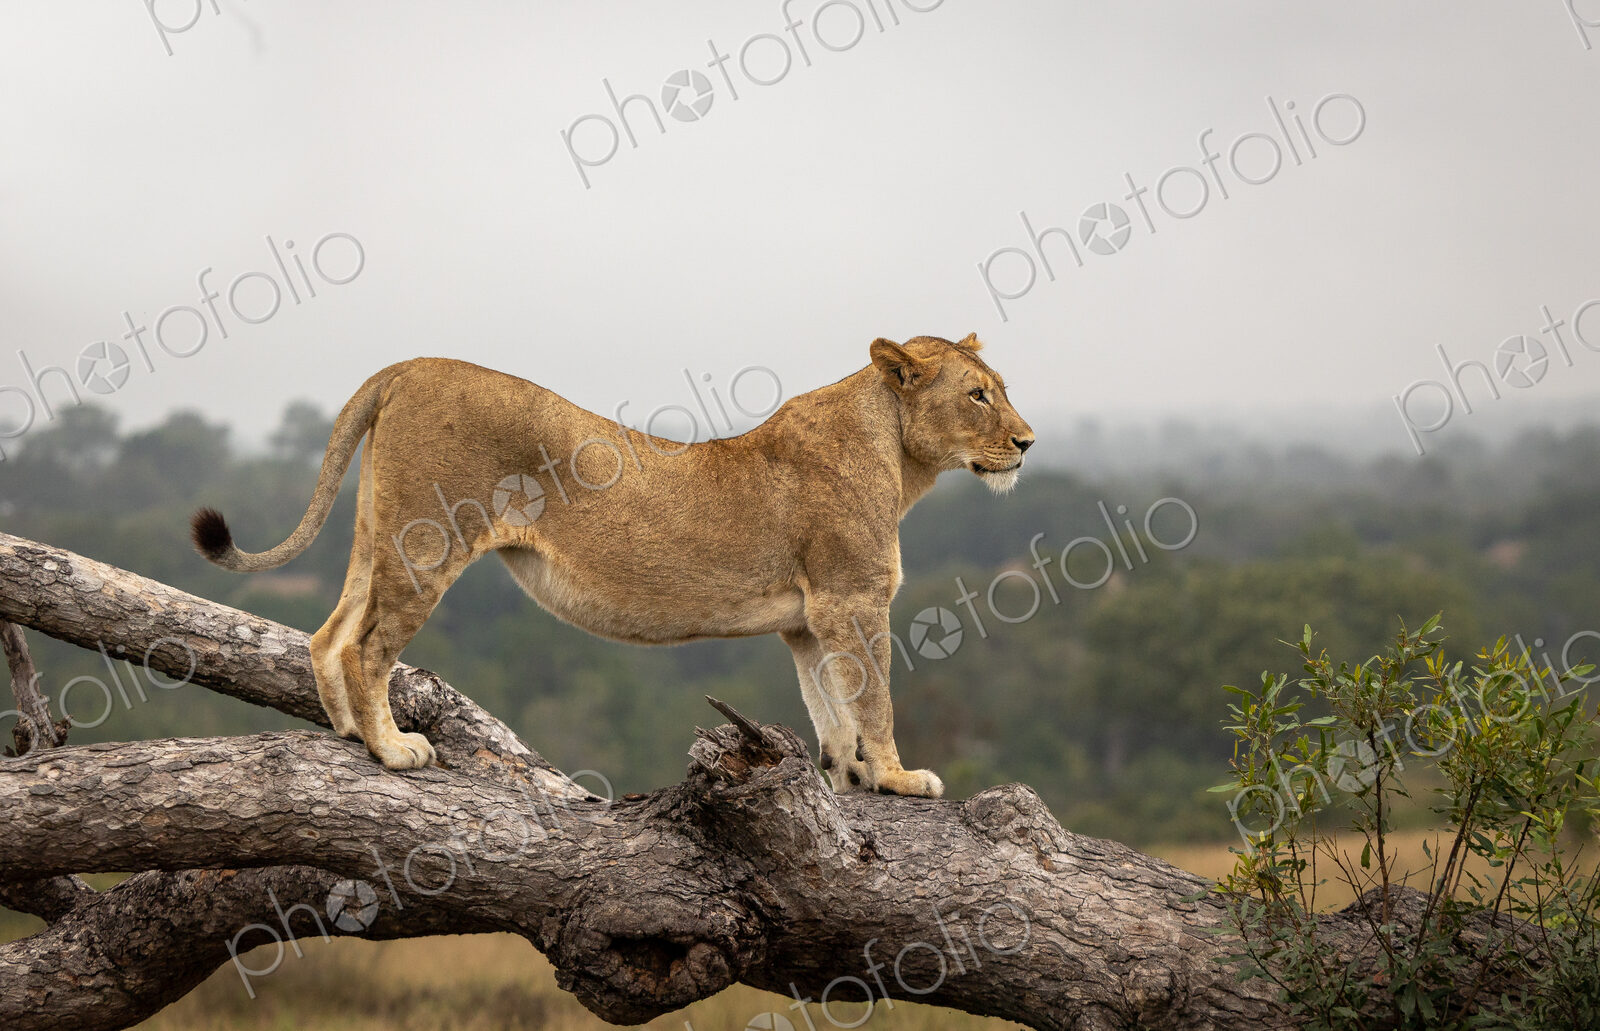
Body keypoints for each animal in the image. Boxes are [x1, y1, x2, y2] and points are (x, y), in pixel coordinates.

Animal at [190, 334, 1033, 797]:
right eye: (978, 395)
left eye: (1001, 391)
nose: (1027, 442)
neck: (899, 454)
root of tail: (407, 365)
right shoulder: (851, 598)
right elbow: (876, 697)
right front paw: (900, 777)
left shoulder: (809, 619)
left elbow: (831, 704)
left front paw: (852, 777)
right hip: (427, 544)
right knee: (367, 645)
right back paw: (390, 748)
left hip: (381, 535)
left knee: (328, 633)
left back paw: (345, 736)